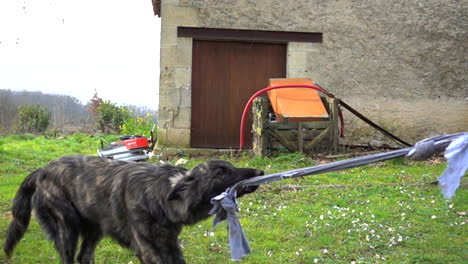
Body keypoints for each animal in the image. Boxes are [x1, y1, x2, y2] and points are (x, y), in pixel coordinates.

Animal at [2, 156, 264, 264]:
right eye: (221, 171)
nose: (260, 172)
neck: (160, 195)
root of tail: (41, 171)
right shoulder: (149, 251)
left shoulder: (169, 246)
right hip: (68, 228)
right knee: (68, 257)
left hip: (94, 229)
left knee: (84, 257)